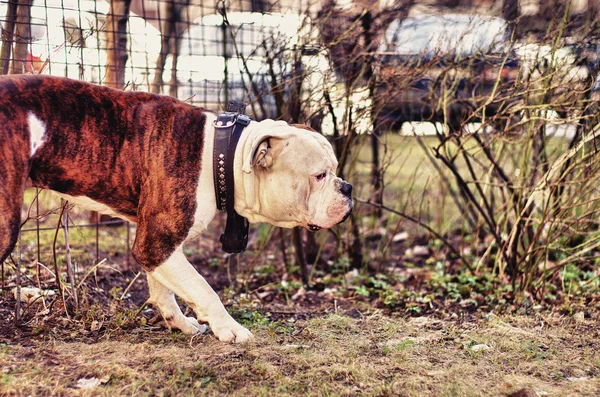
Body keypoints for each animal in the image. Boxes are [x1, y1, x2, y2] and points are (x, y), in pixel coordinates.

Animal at [0, 76, 352, 342]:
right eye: (320, 176)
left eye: (335, 171)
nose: (347, 188)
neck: (222, 154)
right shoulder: (158, 243)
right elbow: (204, 288)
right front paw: (230, 328)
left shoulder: (159, 246)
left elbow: (165, 290)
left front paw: (180, 324)